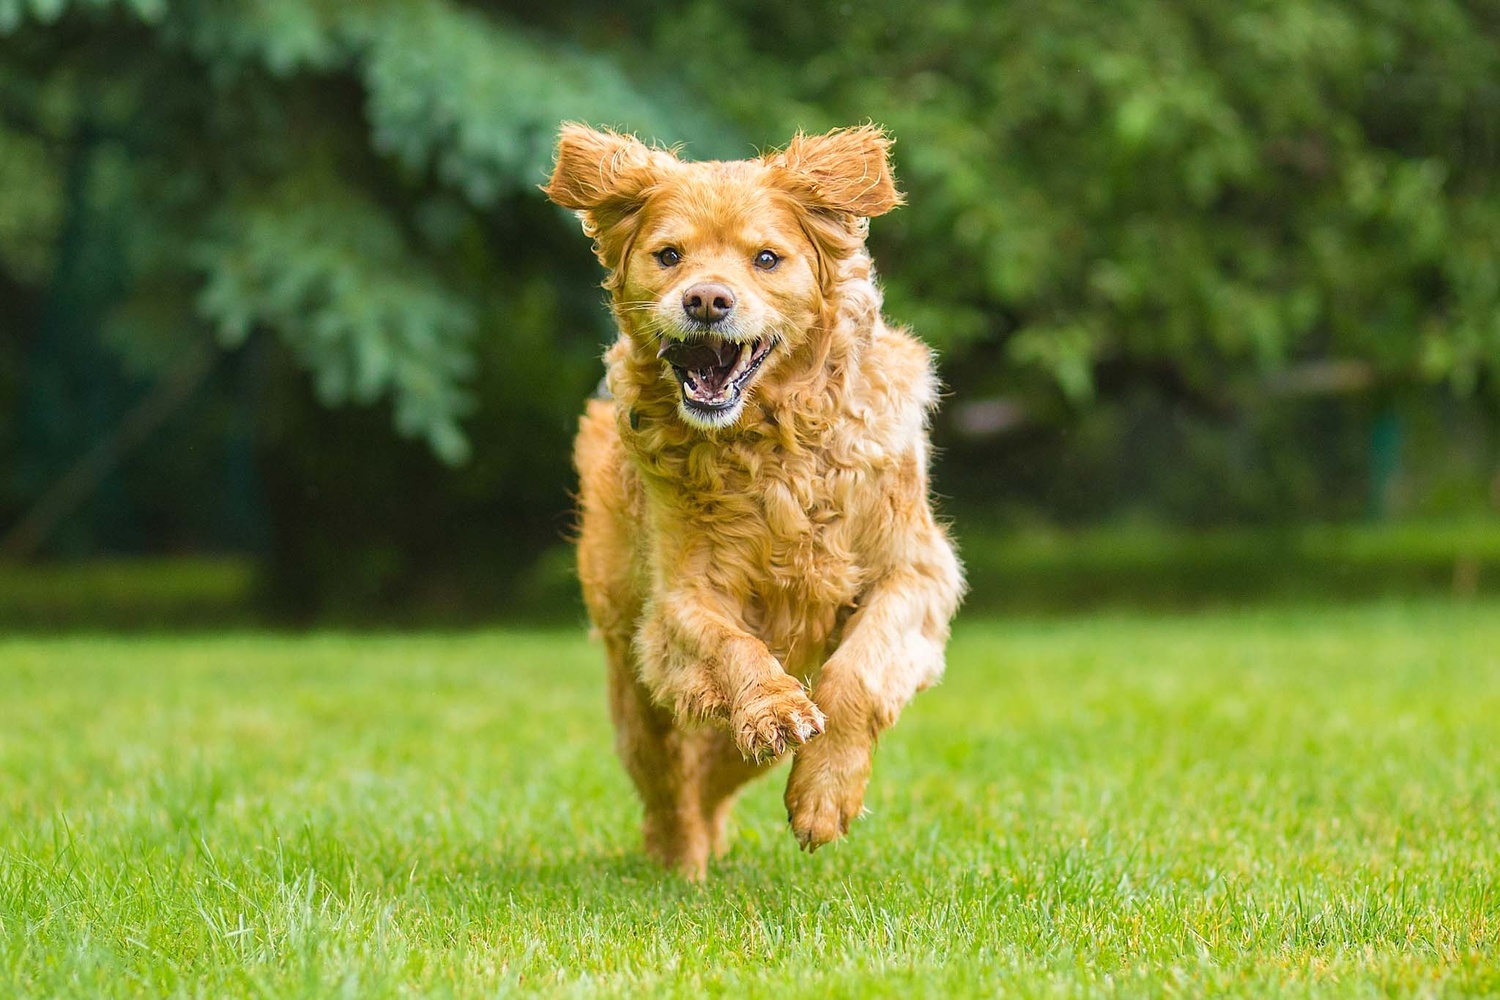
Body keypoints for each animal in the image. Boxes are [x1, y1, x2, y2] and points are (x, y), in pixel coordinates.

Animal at [546, 122, 966, 875]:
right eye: (669, 255)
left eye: (766, 258)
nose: (707, 300)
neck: (772, 446)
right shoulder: (680, 600)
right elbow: (730, 643)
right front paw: (770, 707)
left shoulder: (915, 572)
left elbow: (857, 676)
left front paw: (824, 796)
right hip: (635, 688)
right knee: (672, 787)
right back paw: (682, 864)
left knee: (712, 779)